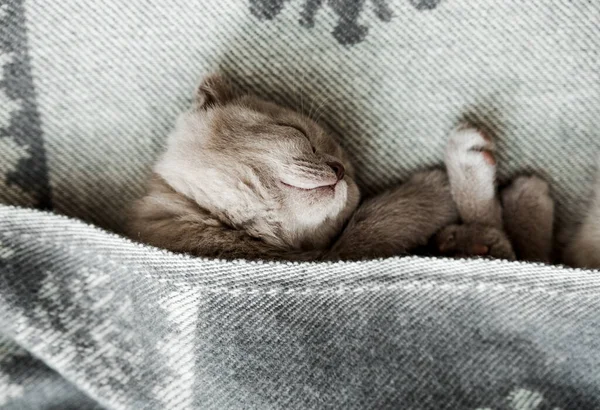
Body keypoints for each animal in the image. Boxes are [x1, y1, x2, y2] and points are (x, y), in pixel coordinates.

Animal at [127, 73, 454, 260]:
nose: (339, 169)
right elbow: (374, 225)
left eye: (350, 173)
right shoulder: (334, 255)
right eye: (299, 133)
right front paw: (433, 191)